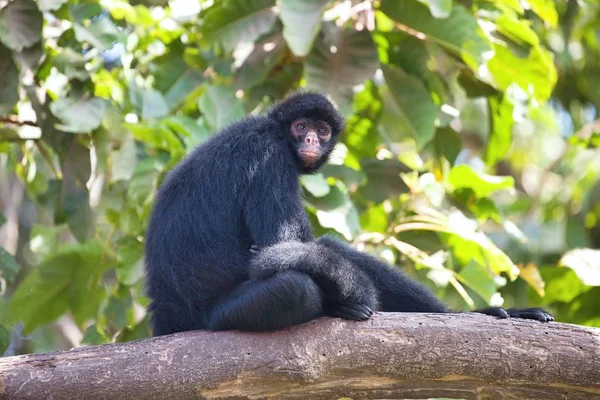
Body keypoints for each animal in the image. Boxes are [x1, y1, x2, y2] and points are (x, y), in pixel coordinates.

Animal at [145, 92, 552, 336]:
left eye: (322, 130)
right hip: (221, 316)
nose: (311, 139)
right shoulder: (271, 159)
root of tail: (167, 316)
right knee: (297, 287)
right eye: (301, 127)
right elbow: (278, 251)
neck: (273, 130)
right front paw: (356, 295)